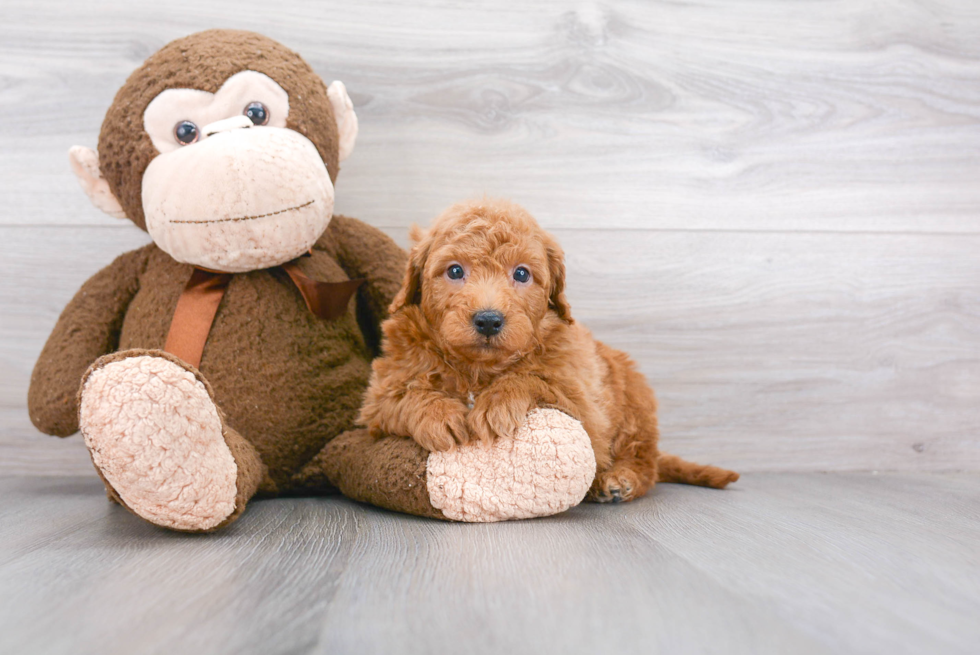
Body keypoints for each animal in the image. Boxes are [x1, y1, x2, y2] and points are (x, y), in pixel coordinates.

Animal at [358, 200, 736, 502]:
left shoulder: (584, 403)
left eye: (522, 274)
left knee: (645, 462)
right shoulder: (378, 398)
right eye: (454, 270)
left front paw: (498, 403)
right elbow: (404, 395)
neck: (478, 369)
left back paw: (620, 479)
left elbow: (535, 377)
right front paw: (440, 415)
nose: (488, 320)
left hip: (634, 405)